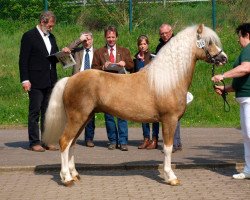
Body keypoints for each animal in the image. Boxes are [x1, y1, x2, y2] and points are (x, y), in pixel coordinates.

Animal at [42, 24, 227, 187]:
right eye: (209, 42)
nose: (223, 58)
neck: (168, 79)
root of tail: (70, 80)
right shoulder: (170, 120)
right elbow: (168, 148)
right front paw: (171, 177)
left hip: (84, 118)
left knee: (71, 143)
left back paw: (74, 174)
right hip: (77, 118)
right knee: (64, 142)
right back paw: (66, 178)